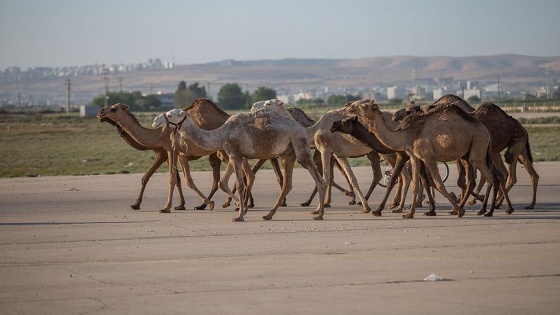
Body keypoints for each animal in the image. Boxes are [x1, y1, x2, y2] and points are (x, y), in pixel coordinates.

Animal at [153, 108, 328, 222]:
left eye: (170, 114)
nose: (155, 121)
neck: (221, 134)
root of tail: (303, 129)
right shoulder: (234, 155)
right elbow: (226, 182)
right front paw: (238, 207)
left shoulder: (235, 155)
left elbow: (240, 184)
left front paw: (239, 215)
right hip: (287, 153)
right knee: (287, 184)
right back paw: (269, 214)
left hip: (299, 144)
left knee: (318, 179)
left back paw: (319, 214)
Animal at [346, 100, 508, 218]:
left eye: (363, 105)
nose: (348, 106)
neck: (408, 134)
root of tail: (487, 131)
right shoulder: (415, 157)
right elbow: (417, 184)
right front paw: (409, 213)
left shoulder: (428, 155)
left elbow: (437, 183)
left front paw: (458, 211)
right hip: (470, 152)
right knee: (487, 178)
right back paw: (484, 209)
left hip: (478, 145)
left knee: (489, 177)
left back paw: (486, 211)